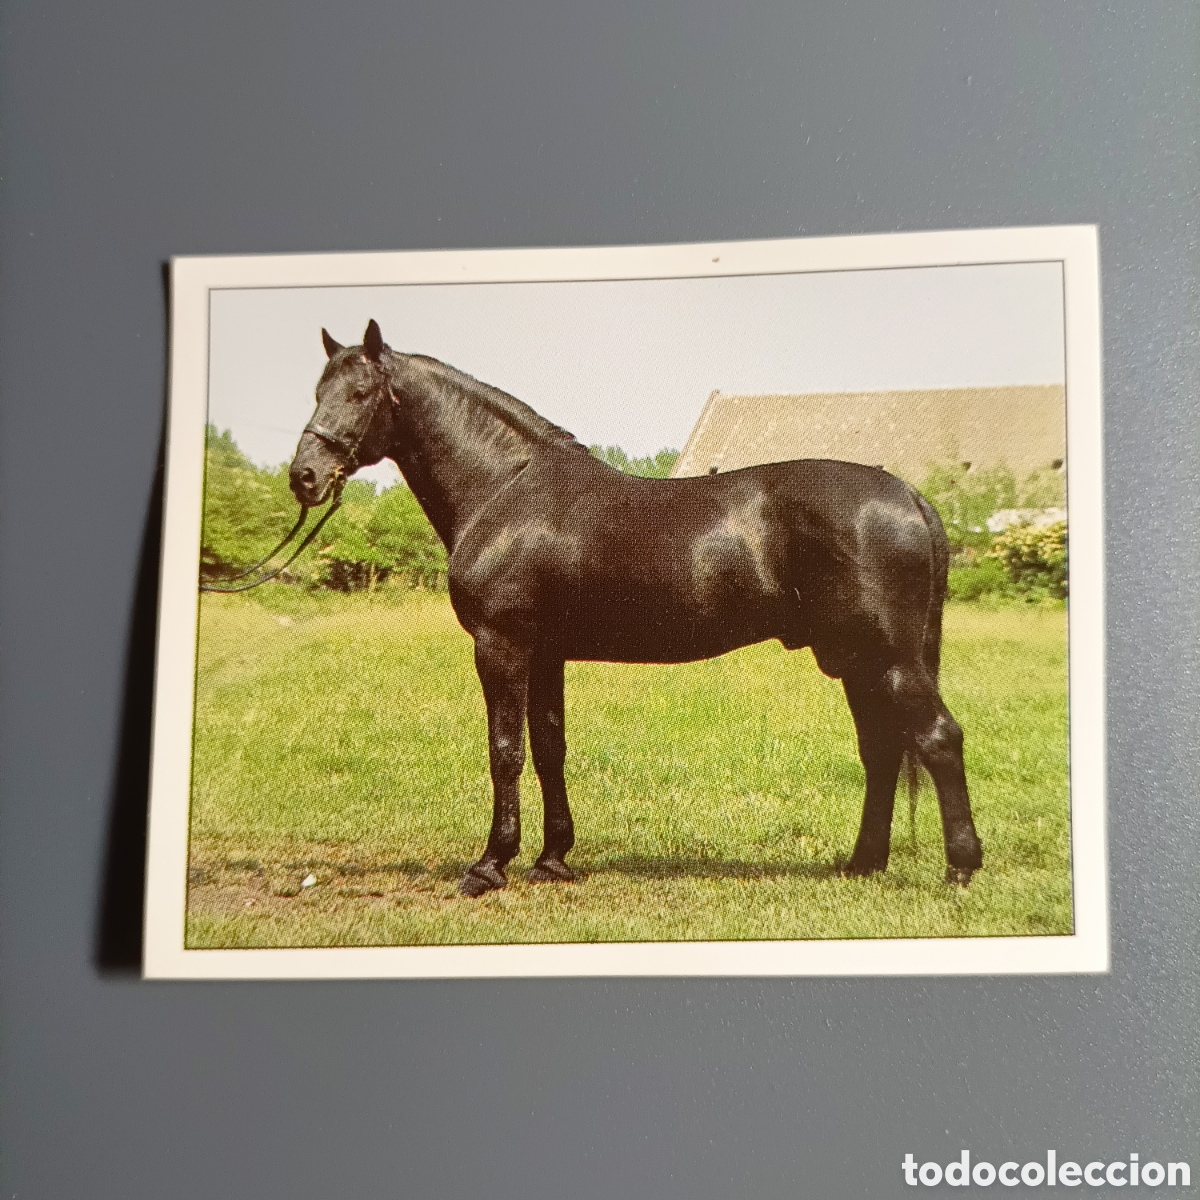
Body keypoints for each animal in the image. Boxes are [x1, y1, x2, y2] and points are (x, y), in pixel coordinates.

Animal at [288, 320, 983, 897]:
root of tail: (908, 495)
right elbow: (550, 747)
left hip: (888, 659)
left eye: (359, 393)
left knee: (938, 738)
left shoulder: (501, 645)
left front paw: (489, 866)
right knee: (883, 750)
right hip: (855, 661)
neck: (506, 489)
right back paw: (863, 863)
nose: (304, 476)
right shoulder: (546, 654)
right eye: (316, 390)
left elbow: (505, 749)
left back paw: (961, 868)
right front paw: (553, 859)